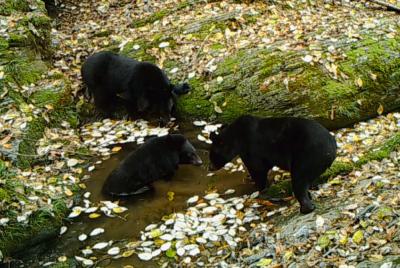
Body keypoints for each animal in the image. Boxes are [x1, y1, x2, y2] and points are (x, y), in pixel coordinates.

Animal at [209, 115, 338, 214]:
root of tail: (331, 147)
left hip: (305, 156)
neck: (236, 138)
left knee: (299, 180)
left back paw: (305, 208)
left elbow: (258, 170)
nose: (210, 167)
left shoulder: (252, 150)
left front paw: (260, 189)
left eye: (212, 155)